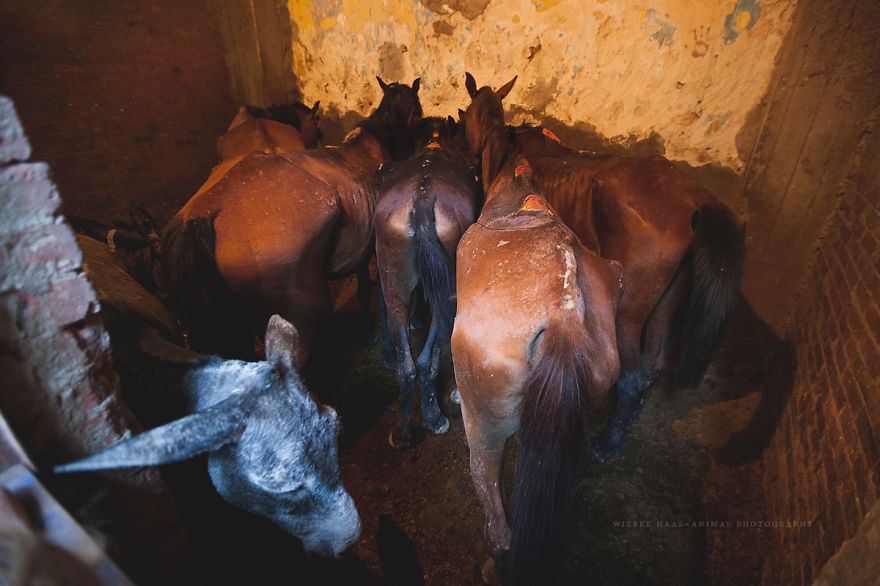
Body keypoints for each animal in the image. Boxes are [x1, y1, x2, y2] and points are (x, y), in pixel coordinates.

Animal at [374, 116, 482, 448]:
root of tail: (422, 198)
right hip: (447, 286)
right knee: (427, 360)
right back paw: (434, 418)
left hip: (393, 280)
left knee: (406, 365)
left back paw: (402, 431)